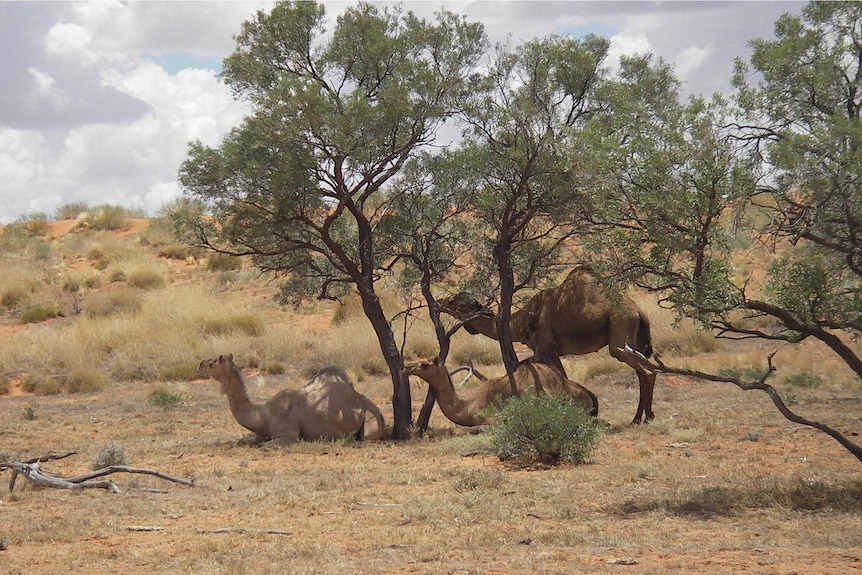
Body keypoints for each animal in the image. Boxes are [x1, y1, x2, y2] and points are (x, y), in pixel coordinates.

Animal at [199, 356, 388, 446]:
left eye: (213, 361)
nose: (200, 363)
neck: (264, 414)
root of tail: (361, 399)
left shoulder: (289, 436)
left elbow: (266, 445)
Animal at [442, 266, 660, 424]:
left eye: (455, 302)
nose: (441, 302)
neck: (520, 322)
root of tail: (639, 311)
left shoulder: (547, 349)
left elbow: (562, 378)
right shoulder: (545, 352)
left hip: (619, 333)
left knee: (647, 371)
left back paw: (647, 417)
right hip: (632, 341)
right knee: (643, 372)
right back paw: (638, 418)